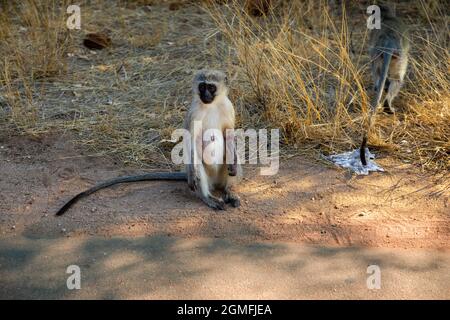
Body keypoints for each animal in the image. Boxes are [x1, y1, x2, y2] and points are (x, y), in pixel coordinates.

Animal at [56, 69, 241, 215]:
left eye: (211, 87)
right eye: (202, 87)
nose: (206, 95)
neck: (212, 105)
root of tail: (215, 183)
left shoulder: (229, 107)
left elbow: (229, 134)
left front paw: (232, 163)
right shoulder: (194, 112)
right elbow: (190, 140)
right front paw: (194, 176)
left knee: (232, 163)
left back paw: (229, 192)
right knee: (197, 168)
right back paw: (208, 198)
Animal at [360, 5, 410, 166]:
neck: (387, 17)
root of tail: (388, 42)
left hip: (377, 55)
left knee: (378, 75)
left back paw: (380, 91)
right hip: (399, 57)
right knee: (397, 79)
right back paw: (388, 106)